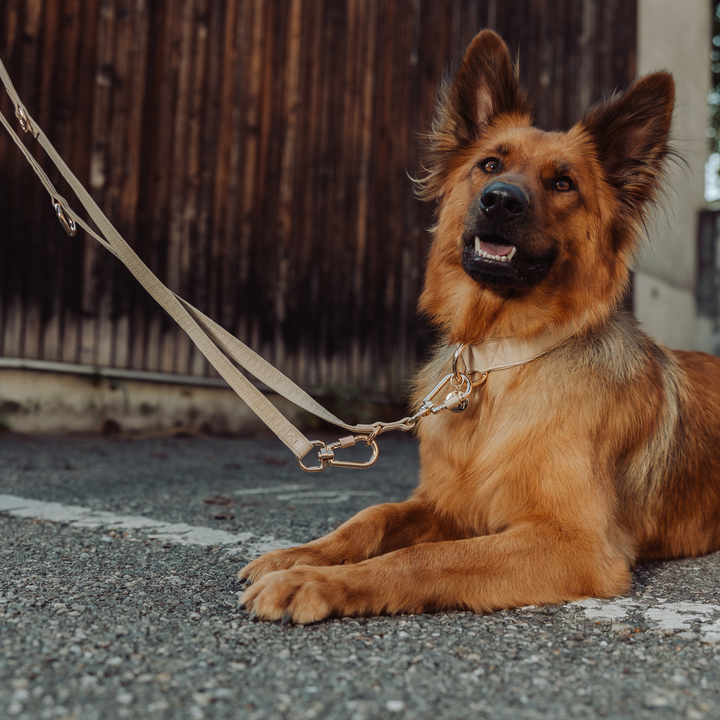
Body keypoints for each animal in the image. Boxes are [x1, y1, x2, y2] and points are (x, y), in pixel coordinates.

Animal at [239, 31, 720, 620]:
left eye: (564, 183)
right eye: (490, 166)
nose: (500, 202)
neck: (503, 356)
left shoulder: (575, 543)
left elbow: (425, 557)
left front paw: (316, 581)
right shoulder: (447, 502)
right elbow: (373, 515)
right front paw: (301, 555)